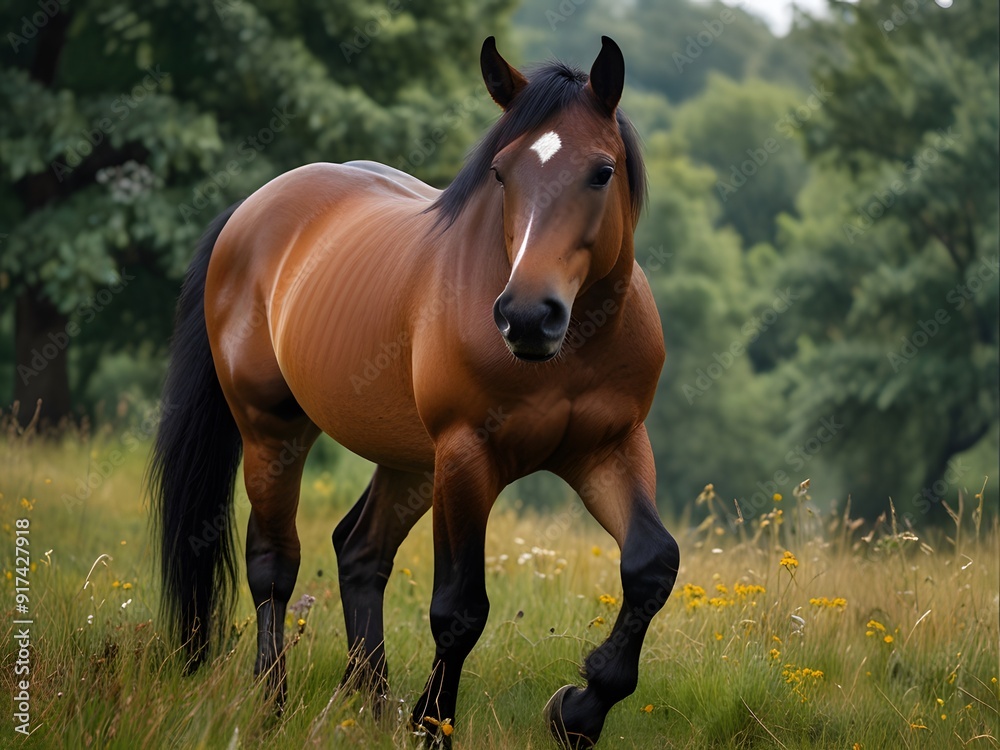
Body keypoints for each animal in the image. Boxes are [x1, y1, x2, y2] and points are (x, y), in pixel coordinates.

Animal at [149, 36, 679, 749]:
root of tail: (250, 209)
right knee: (273, 565)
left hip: (408, 461)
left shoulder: (610, 449)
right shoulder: (467, 456)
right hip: (273, 430)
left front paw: (576, 711)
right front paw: (432, 725)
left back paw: (368, 705)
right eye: (502, 173)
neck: (574, 347)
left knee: (359, 551)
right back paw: (271, 706)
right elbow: (458, 609)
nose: (527, 317)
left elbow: (652, 565)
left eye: (601, 172)